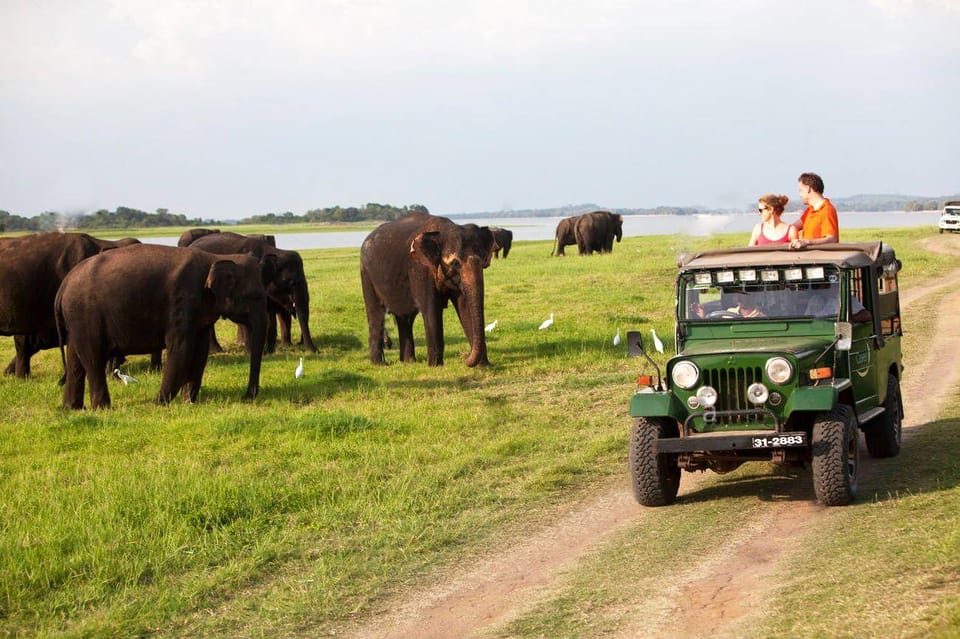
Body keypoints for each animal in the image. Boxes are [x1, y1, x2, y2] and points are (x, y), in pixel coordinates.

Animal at [55, 245, 270, 410]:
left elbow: (200, 351)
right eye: (255, 296)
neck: (216, 257)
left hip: (77, 320)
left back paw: (72, 408)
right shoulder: (182, 301)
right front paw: (158, 404)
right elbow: (181, 349)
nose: (246, 396)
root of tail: (64, 285)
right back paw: (103, 408)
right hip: (85, 315)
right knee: (93, 358)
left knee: (75, 359)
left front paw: (188, 402)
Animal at [188, 231, 318, 356]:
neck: (273, 251)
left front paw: (277, 348)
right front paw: (266, 351)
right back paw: (216, 350)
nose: (316, 351)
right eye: (291, 282)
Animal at [358, 212, 498, 368]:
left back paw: (408, 362)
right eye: (455, 263)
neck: (443, 230)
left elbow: (465, 307)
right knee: (376, 314)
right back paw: (380, 364)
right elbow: (431, 309)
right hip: (366, 274)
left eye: (483, 261)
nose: (464, 358)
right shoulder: (420, 268)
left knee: (405, 317)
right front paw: (435, 366)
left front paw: (484, 366)